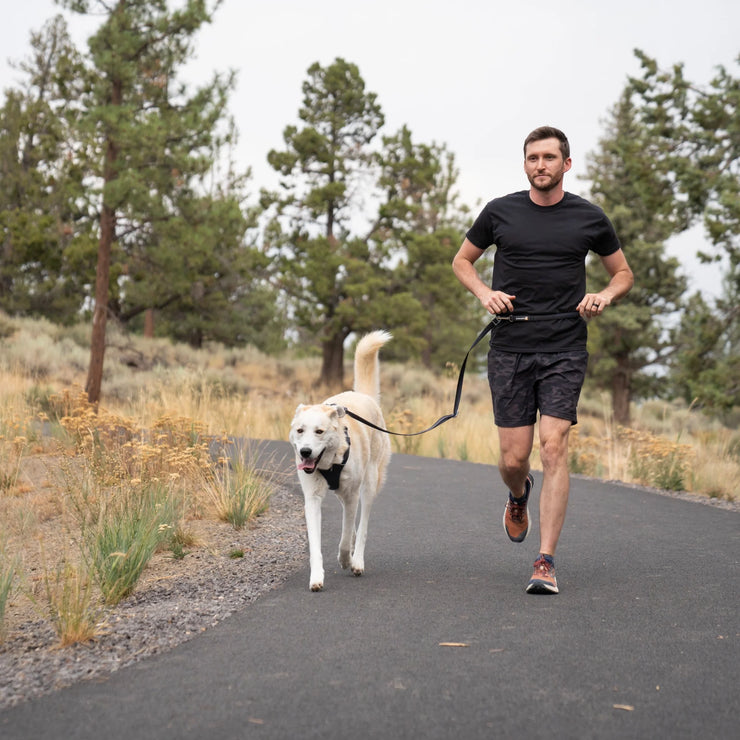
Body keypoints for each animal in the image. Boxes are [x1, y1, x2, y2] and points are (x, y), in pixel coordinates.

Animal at [290, 332, 394, 592]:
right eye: (300, 430)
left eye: (319, 431)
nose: (305, 452)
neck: (330, 462)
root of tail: (363, 396)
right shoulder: (312, 499)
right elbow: (315, 544)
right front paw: (316, 577)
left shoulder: (351, 495)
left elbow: (346, 536)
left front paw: (346, 559)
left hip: (368, 485)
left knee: (362, 524)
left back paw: (357, 560)